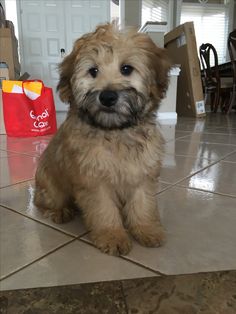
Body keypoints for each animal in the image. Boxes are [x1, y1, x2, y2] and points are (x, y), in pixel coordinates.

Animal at [33, 23, 170, 255]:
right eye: (93, 71)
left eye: (126, 69)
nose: (107, 97)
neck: (115, 132)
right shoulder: (94, 180)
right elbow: (104, 210)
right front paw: (112, 236)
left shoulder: (142, 172)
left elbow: (143, 204)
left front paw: (147, 229)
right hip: (51, 184)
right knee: (44, 201)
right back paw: (60, 211)